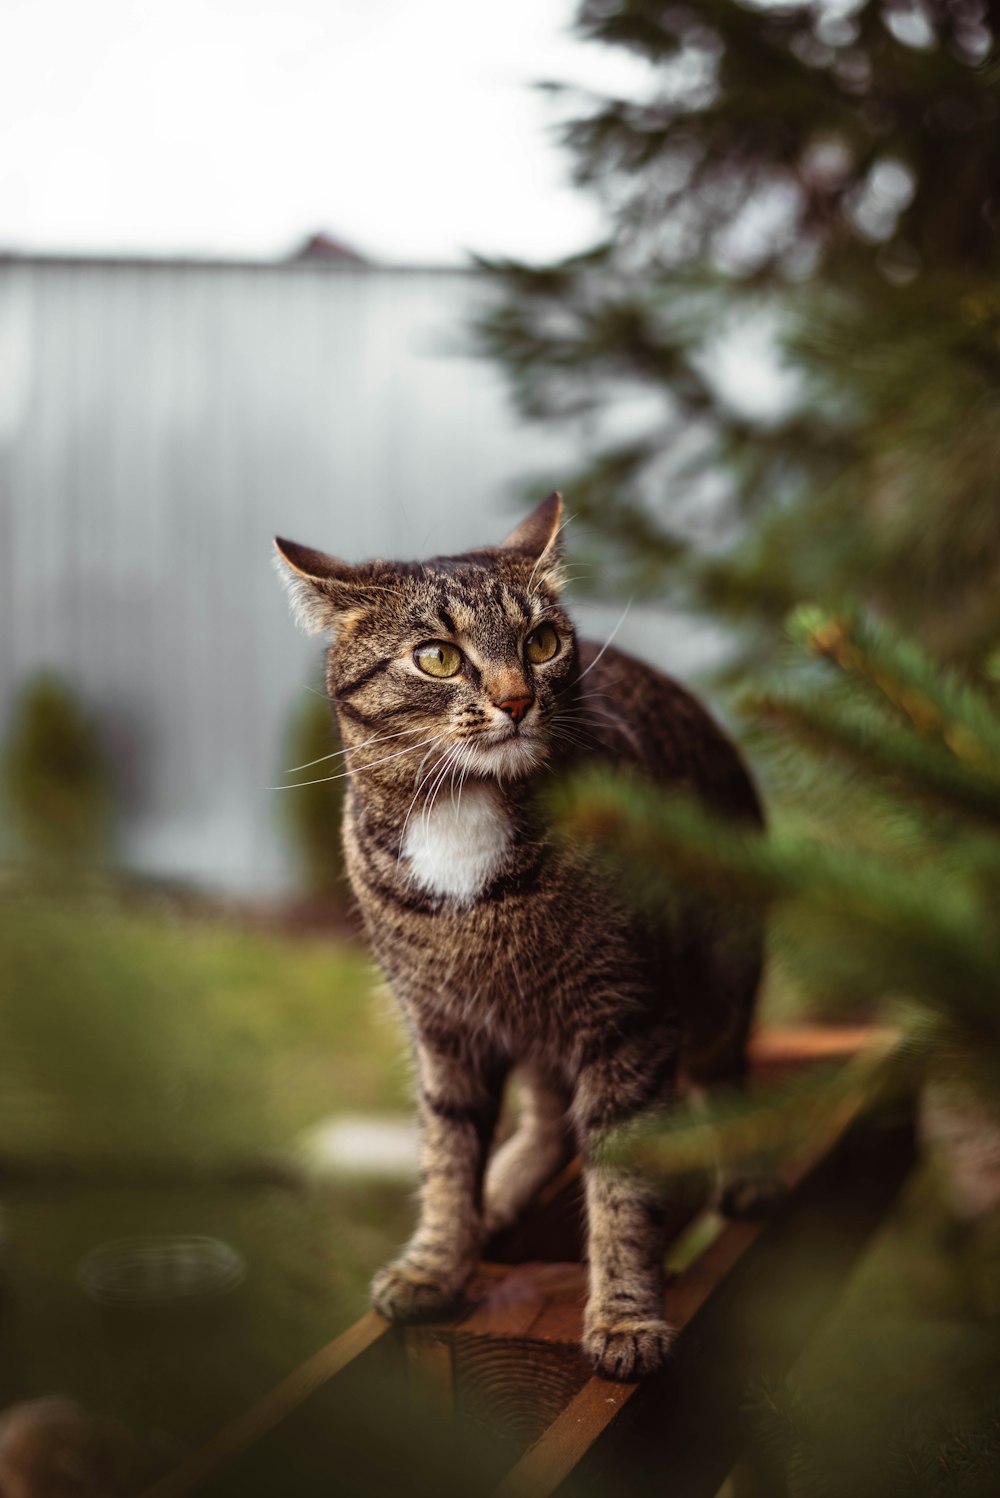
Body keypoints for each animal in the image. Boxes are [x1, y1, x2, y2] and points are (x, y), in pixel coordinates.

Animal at [275, 494, 766, 1378]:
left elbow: (623, 1185)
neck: (462, 821)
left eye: (541, 643)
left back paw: (746, 1174)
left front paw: (626, 1317)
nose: (514, 700)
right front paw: (437, 1261)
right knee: (543, 1118)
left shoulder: (627, 1018)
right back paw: (499, 1193)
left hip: (719, 973)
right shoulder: (440, 1026)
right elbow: (445, 1150)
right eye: (437, 657)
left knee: (723, 1073)